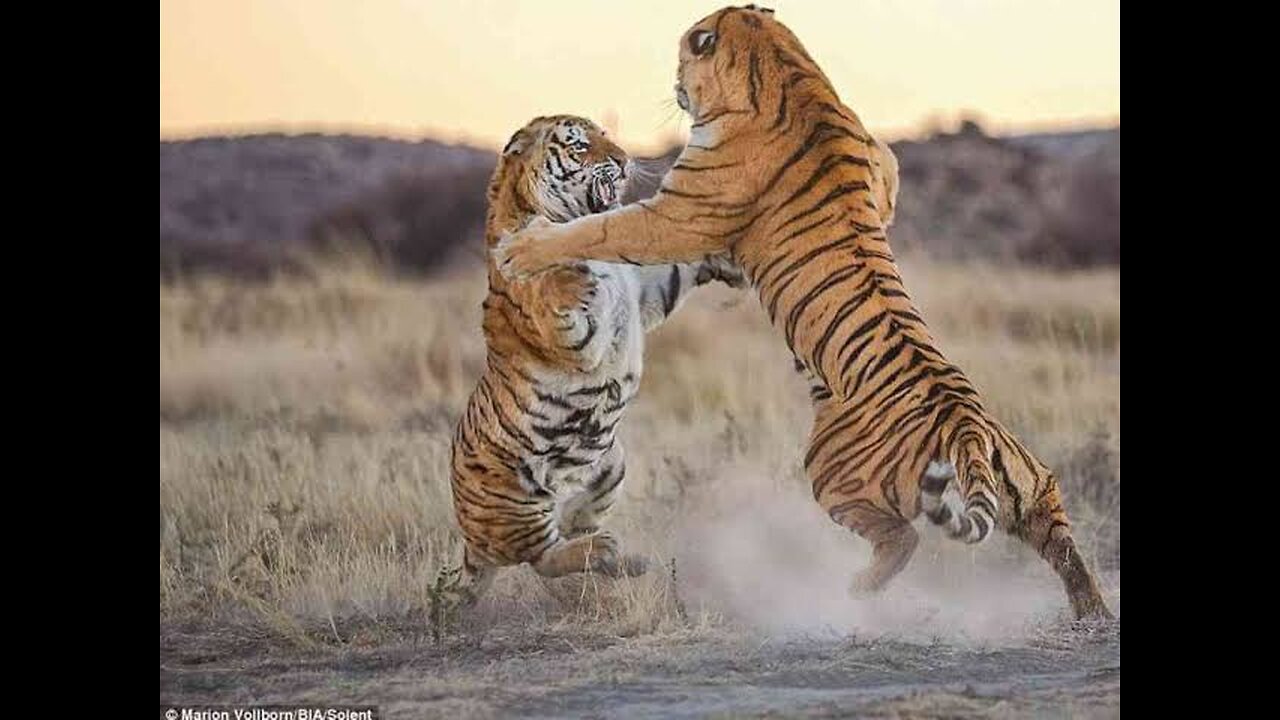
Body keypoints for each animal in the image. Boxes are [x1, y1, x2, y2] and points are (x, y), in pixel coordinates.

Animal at [450, 113, 747, 599]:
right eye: (580, 145)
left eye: (606, 136)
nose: (624, 161)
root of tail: (471, 538)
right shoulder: (566, 332)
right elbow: (550, 285)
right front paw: (563, 271)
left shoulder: (645, 290)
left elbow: (678, 265)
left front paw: (728, 258)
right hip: (518, 502)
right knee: (543, 558)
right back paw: (608, 551)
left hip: (610, 464)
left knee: (573, 525)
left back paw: (623, 558)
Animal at [494, 7, 1116, 617]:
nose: (674, 85)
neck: (786, 65)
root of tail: (966, 429)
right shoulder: (881, 161)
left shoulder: (677, 212)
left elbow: (601, 229)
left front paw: (523, 249)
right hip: (1037, 489)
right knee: (1062, 545)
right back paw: (1092, 613)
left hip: (830, 469)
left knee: (904, 537)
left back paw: (857, 590)